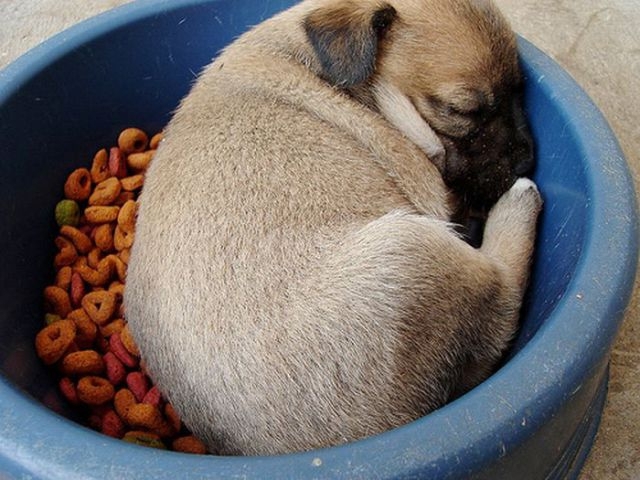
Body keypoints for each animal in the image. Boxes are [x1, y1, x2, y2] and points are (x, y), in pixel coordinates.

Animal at [127, 0, 544, 456]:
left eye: (519, 93)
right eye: (462, 111)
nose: (526, 158)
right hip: (411, 250)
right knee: (503, 300)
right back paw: (518, 201)